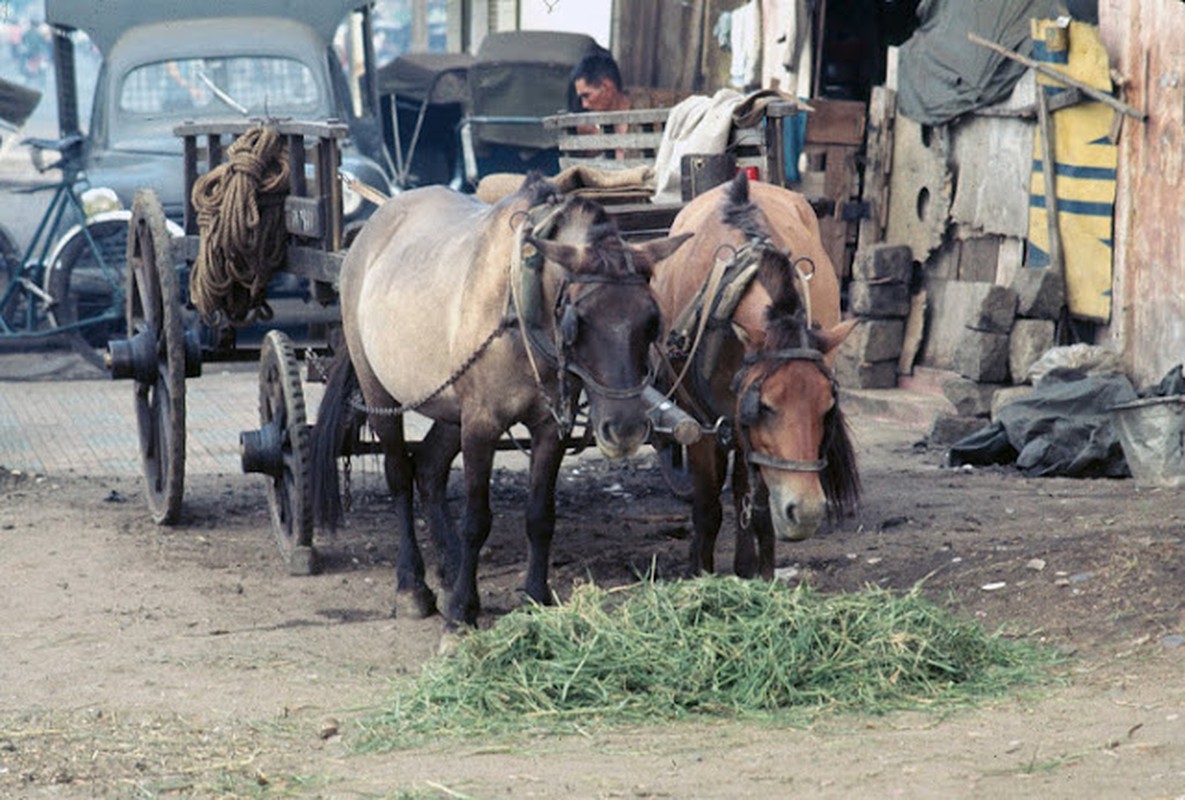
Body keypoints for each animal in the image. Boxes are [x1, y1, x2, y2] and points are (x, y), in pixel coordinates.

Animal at [310, 176, 692, 630]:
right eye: (577, 322)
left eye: (651, 321)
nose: (627, 429)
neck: (521, 300)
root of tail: (371, 228)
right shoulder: (481, 424)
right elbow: (477, 519)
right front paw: (461, 612)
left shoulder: (549, 426)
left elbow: (540, 516)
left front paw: (535, 596)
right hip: (379, 390)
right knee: (401, 478)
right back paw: (413, 586)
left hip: (448, 405)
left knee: (429, 469)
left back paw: (449, 569)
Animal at [649, 171, 862, 578]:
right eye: (763, 406)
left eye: (827, 408)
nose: (806, 512)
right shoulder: (698, 423)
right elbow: (708, 507)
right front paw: (699, 572)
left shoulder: (753, 439)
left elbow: (758, 507)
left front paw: (757, 573)